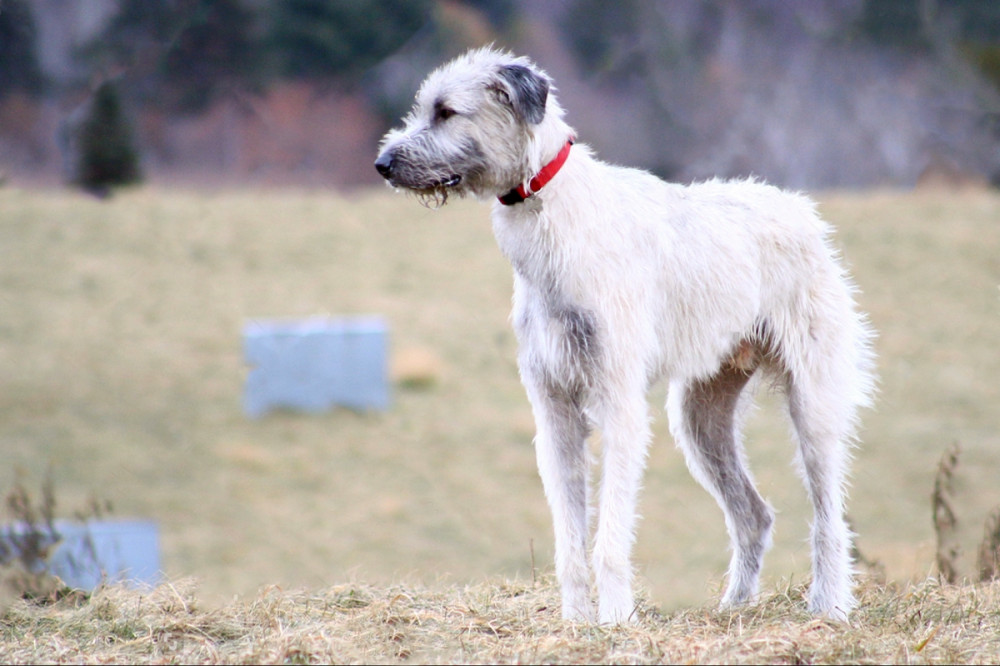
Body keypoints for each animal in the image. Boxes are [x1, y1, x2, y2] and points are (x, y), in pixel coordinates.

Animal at [374, 48, 876, 624]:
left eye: (446, 112)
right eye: (424, 108)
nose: (381, 164)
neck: (552, 212)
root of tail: (802, 211)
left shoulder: (619, 404)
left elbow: (610, 537)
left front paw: (614, 620)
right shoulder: (555, 411)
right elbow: (568, 538)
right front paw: (575, 621)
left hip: (813, 403)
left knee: (828, 516)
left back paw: (829, 606)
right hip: (700, 419)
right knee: (754, 514)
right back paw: (733, 607)